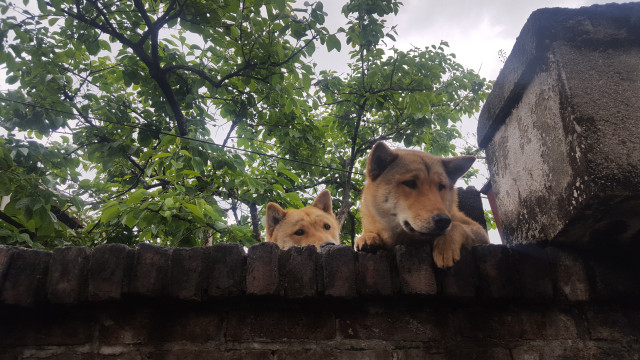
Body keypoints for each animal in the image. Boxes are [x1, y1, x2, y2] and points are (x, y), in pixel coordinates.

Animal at [356, 142, 490, 268]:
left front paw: (445, 246)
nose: (443, 220)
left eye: (441, 186)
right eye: (410, 183)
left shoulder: (480, 233)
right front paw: (367, 237)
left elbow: (457, 226)